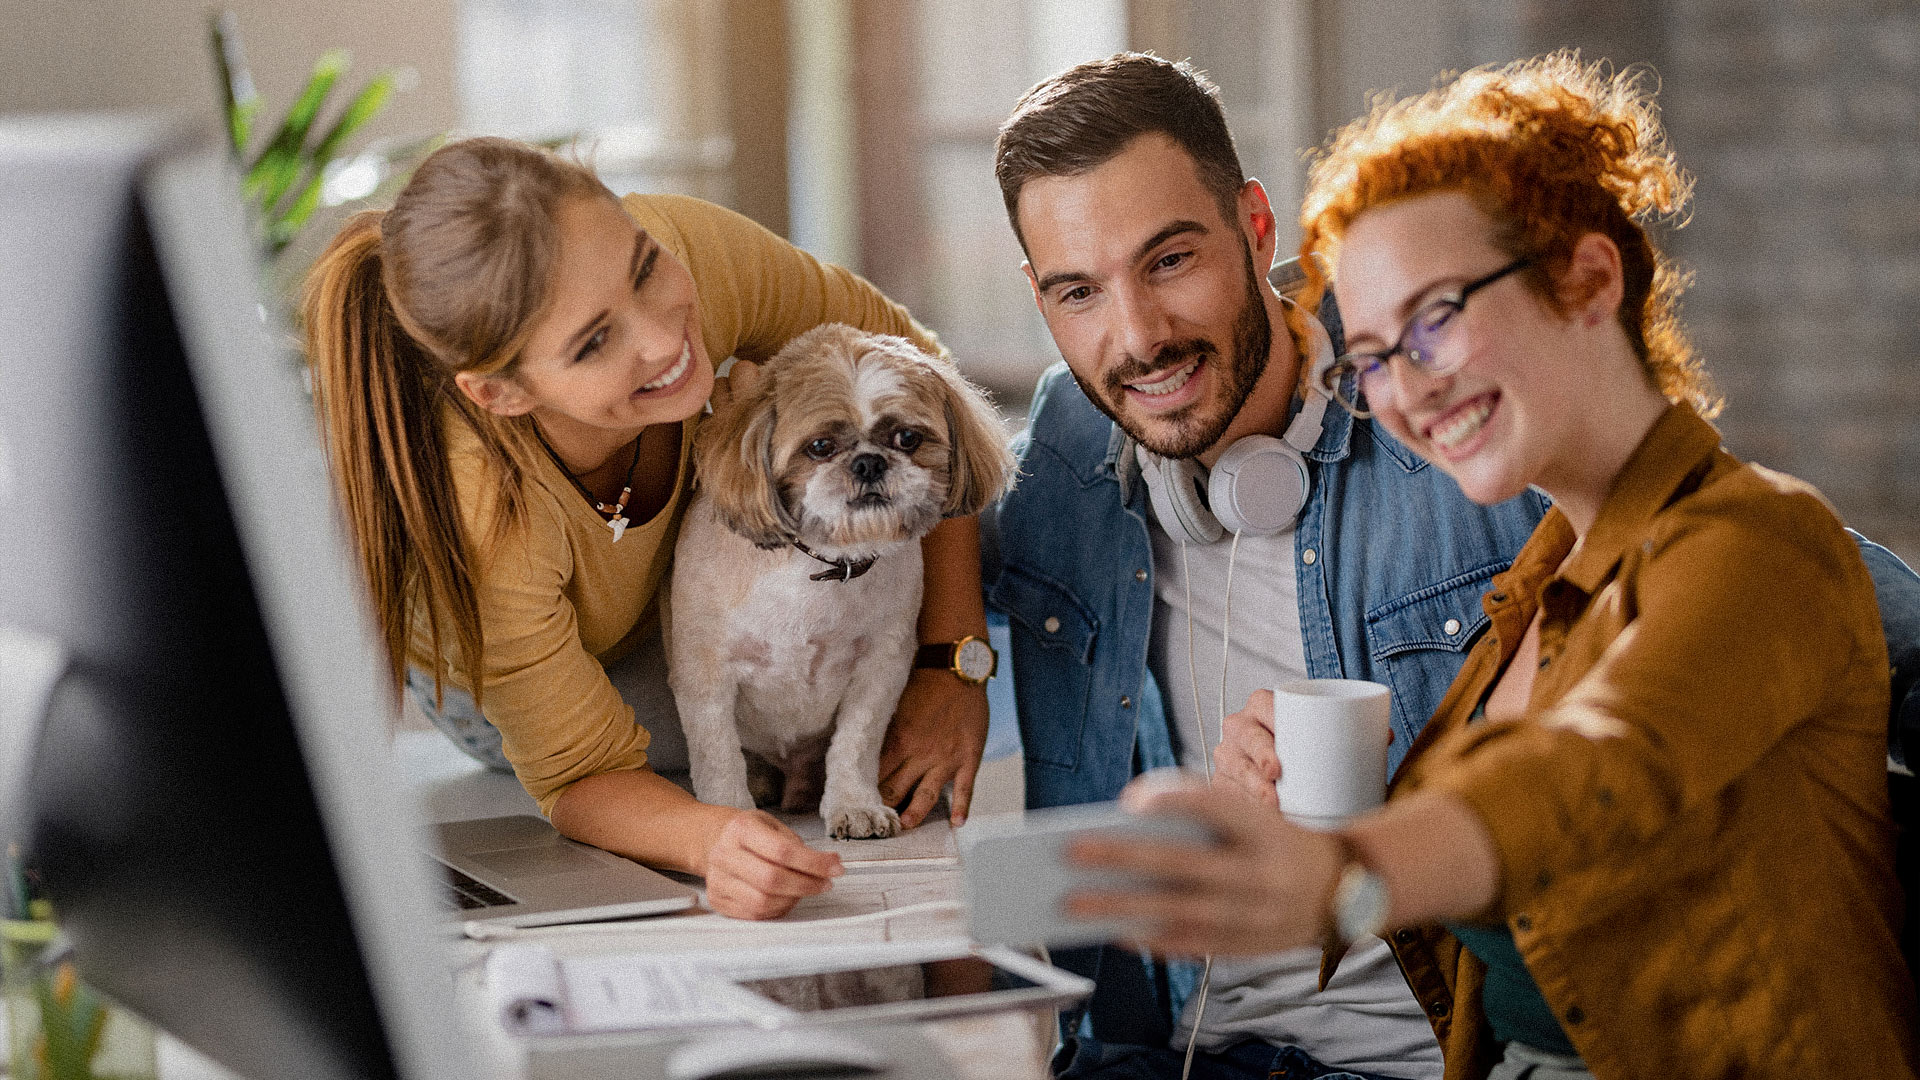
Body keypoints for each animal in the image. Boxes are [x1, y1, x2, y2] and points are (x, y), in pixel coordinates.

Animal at [664, 322, 1013, 837]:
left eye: (907, 437)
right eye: (820, 447)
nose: (869, 462)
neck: (825, 565)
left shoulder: (879, 667)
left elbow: (855, 743)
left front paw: (856, 805)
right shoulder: (704, 673)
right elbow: (718, 754)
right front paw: (729, 812)